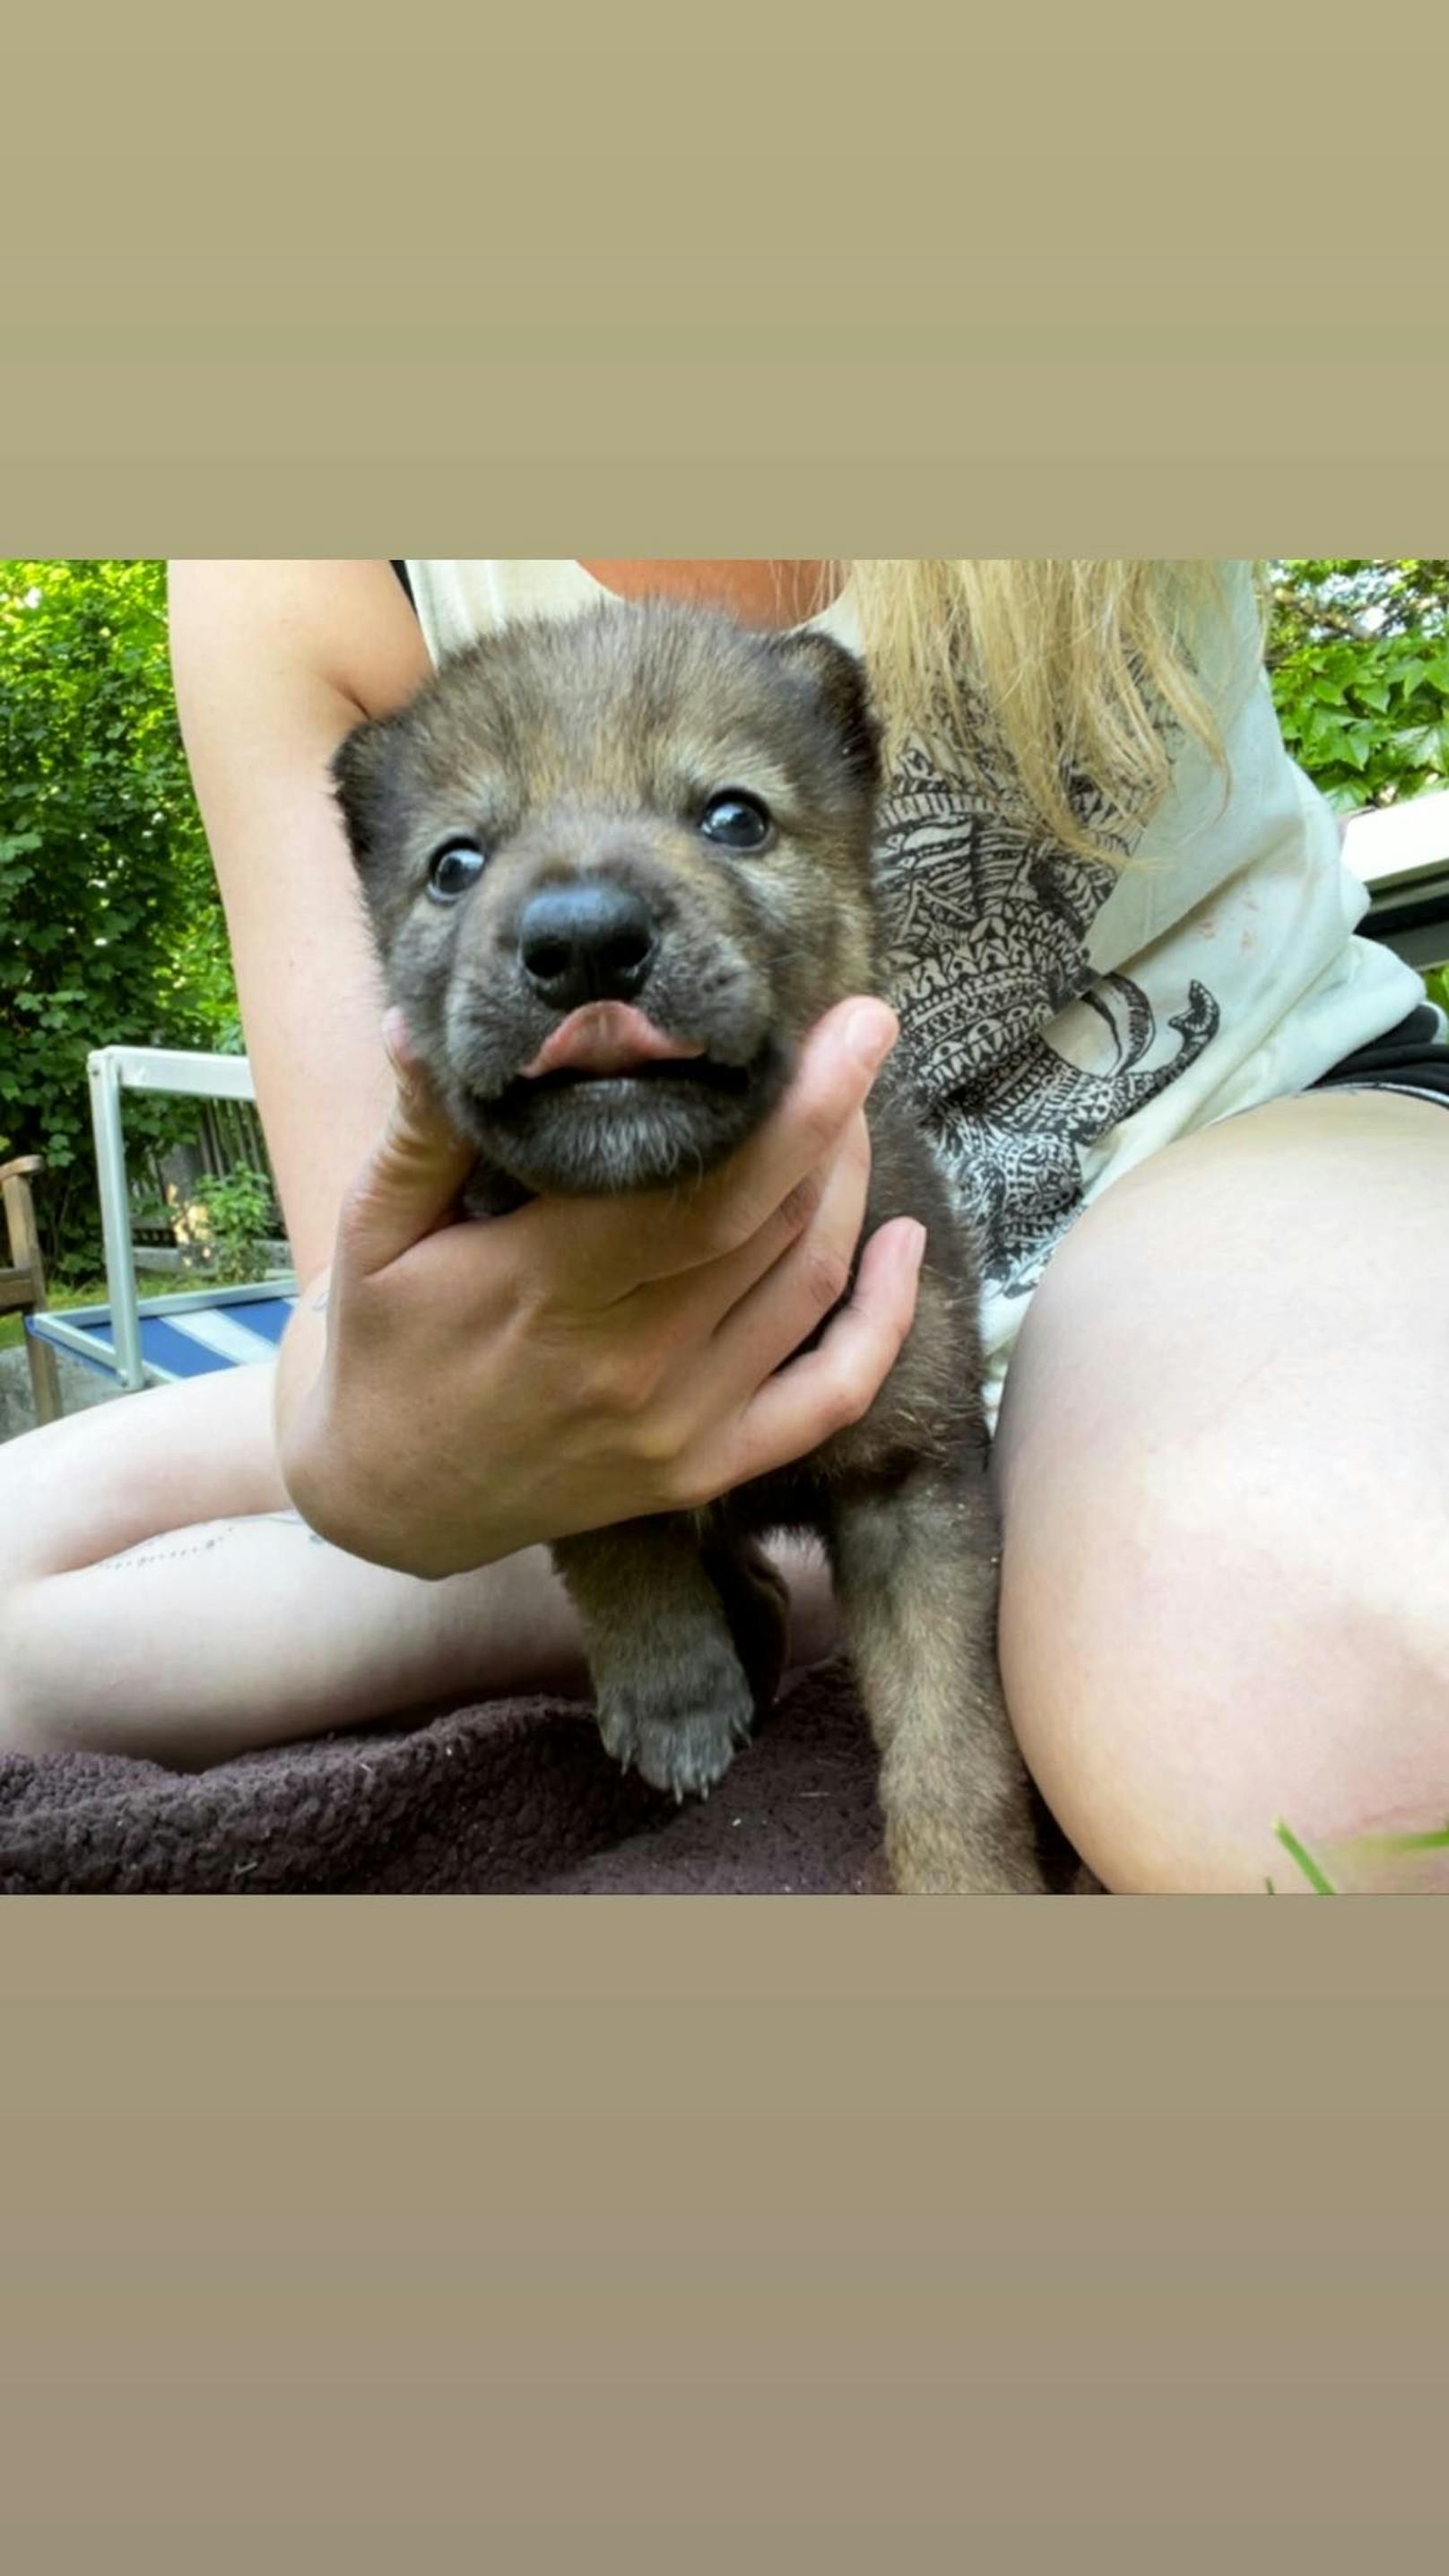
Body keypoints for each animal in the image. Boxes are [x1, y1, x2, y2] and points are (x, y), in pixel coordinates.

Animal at [332, 603, 1041, 1895]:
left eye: (734, 816)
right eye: (455, 863)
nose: (583, 942)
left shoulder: (913, 1474)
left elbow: (950, 1729)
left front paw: (968, 1878)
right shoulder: (538, 1415)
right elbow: (624, 1545)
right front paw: (676, 1700)